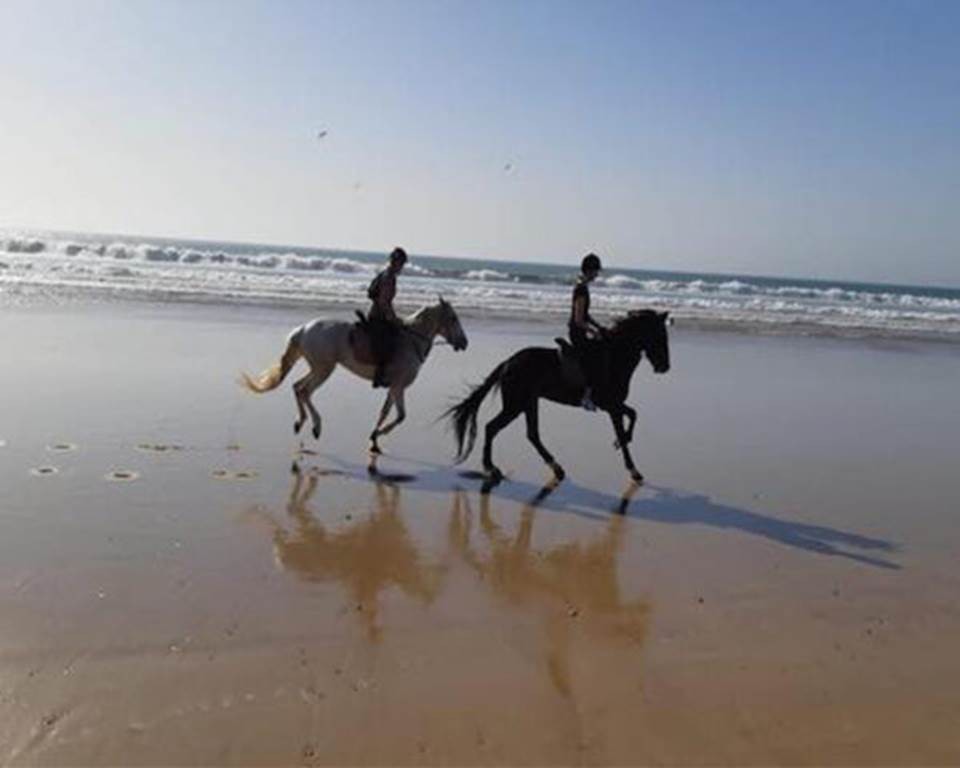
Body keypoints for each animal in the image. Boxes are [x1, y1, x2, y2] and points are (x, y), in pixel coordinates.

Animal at [242, 297, 468, 454]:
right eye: (453, 318)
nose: (465, 343)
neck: (411, 340)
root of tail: (304, 329)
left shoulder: (393, 387)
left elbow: (384, 412)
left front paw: (375, 439)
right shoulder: (399, 386)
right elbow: (401, 416)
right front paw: (380, 433)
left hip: (318, 368)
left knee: (298, 387)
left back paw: (301, 423)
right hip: (324, 369)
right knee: (305, 391)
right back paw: (316, 426)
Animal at [445, 309, 670, 483]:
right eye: (660, 337)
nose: (664, 367)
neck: (615, 356)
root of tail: (509, 362)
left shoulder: (615, 405)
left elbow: (632, 415)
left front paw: (621, 442)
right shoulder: (610, 405)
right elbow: (627, 425)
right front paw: (634, 471)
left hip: (529, 402)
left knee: (532, 434)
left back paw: (556, 468)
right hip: (515, 404)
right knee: (492, 428)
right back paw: (491, 468)